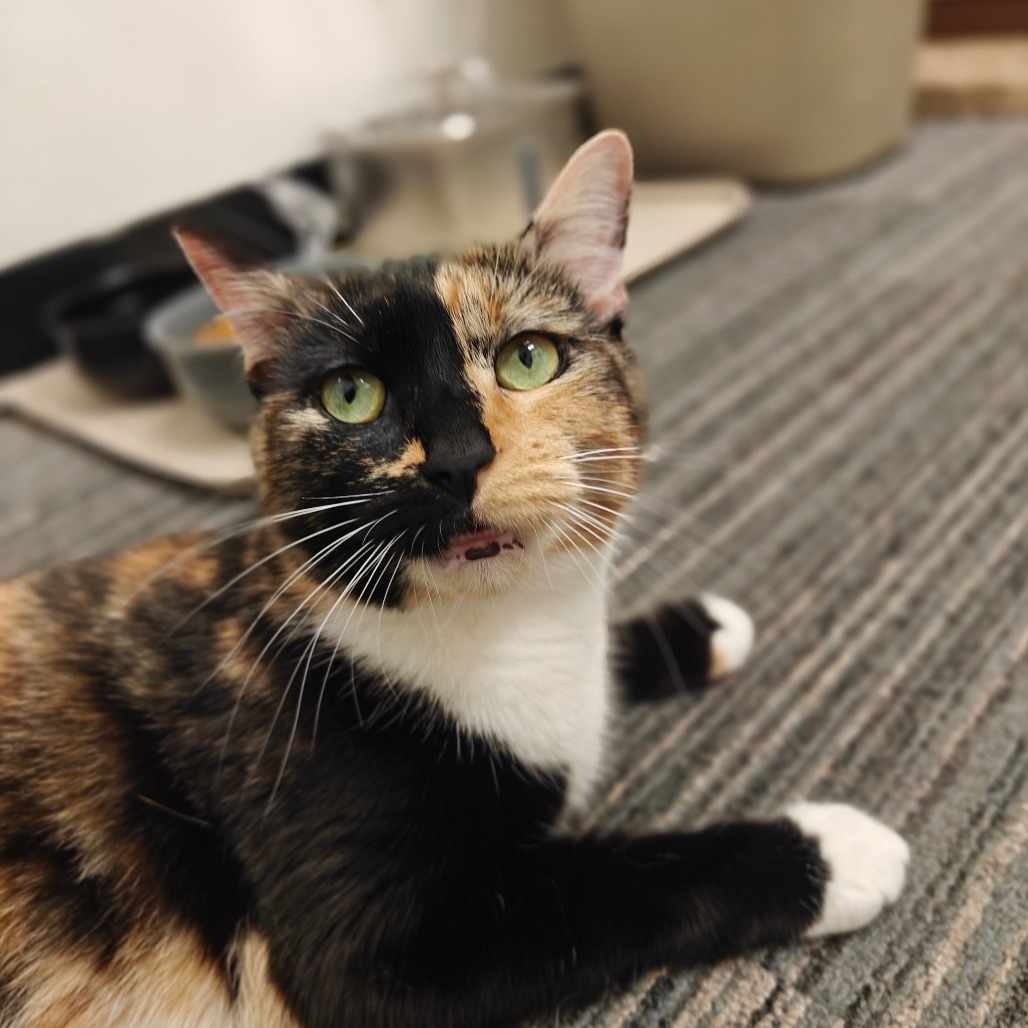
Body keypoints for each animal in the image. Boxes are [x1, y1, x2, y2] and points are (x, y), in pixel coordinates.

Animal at [0, 131, 908, 1028]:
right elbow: (612, 888)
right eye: (351, 394)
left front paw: (700, 626)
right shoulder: (375, 952)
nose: (457, 457)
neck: (502, 635)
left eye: (528, 358)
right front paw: (831, 851)